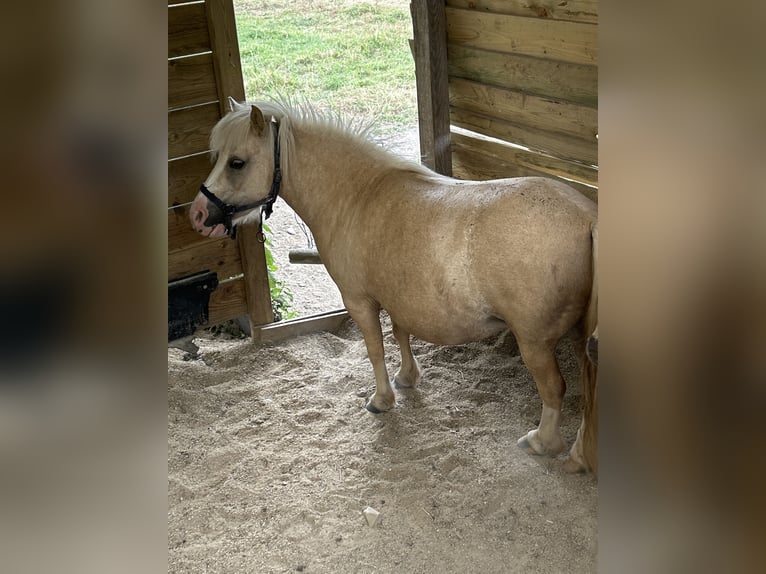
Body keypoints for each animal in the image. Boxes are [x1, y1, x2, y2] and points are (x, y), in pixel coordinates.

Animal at [189, 99, 598, 472]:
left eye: (236, 162)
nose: (197, 214)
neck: (358, 195)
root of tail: (588, 218)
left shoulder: (358, 300)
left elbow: (375, 350)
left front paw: (382, 400)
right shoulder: (397, 295)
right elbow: (401, 335)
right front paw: (407, 379)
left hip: (535, 343)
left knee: (556, 390)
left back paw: (543, 443)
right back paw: (579, 455)